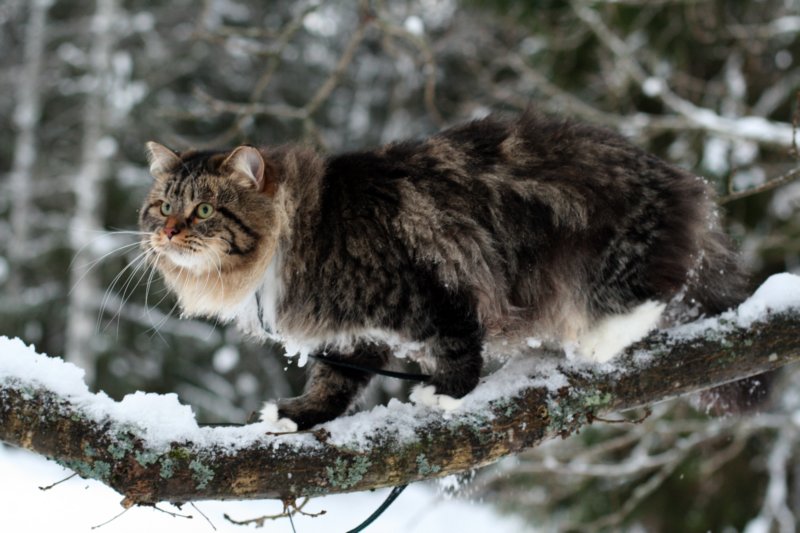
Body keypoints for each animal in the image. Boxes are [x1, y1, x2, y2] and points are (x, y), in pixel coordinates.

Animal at [139, 112, 746, 431]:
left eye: (204, 210)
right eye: (163, 206)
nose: (165, 233)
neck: (298, 231)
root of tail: (674, 176)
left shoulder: (429, 290)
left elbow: (459, 347)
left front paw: (447, 395)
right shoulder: (353, 334)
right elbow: (335, 382)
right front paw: (298, 416)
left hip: (607, 245)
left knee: (655, 291)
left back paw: (599, 338)